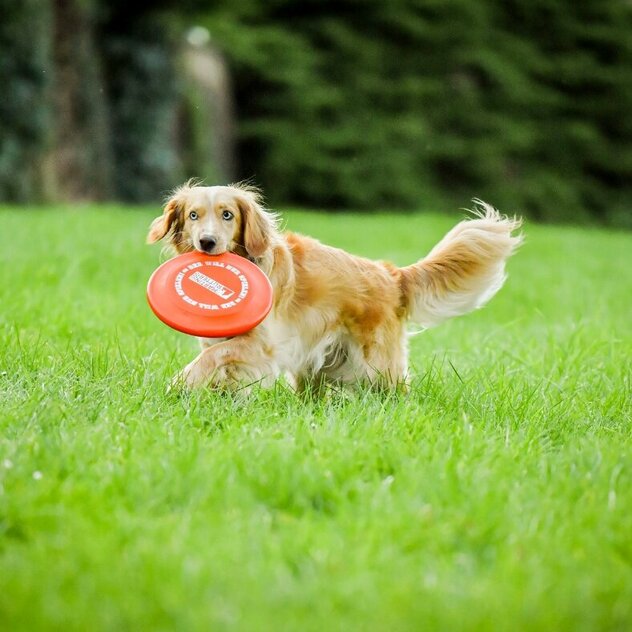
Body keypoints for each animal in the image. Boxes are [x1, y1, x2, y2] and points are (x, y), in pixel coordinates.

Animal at [148, 180, 524, 392]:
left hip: (377, 365)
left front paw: (178, 385)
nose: (207, 243)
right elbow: (217, 363)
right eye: (193, 215)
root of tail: (392, 275)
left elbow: (209, 360)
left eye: (228, 215)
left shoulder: (260, 344)